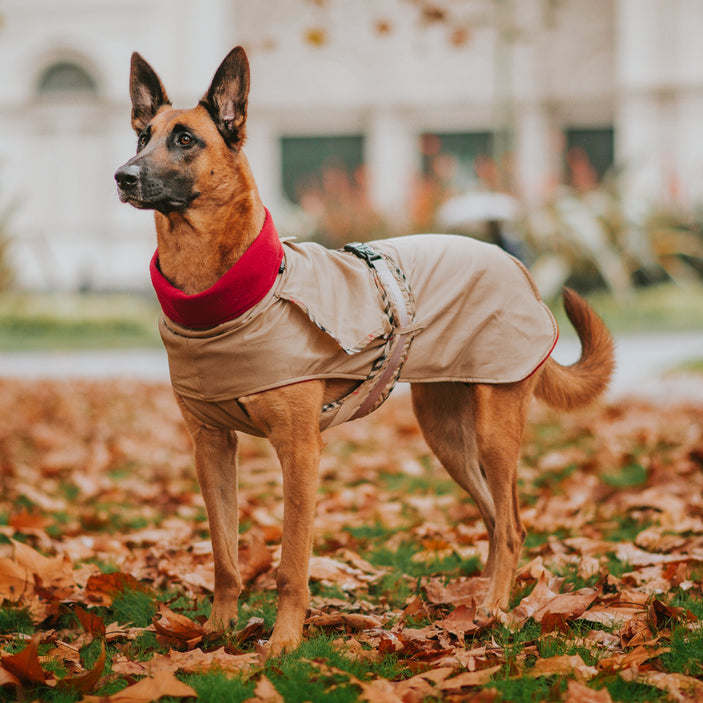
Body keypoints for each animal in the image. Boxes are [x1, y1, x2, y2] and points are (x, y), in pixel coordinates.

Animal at [115, 46, 616, 656]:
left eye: (186, 139)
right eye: (142, 136)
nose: (123, 176)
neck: (231, 295)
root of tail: (513, 261)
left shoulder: (299, 452)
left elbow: (291, 564)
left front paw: (283, 643)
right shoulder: (210, 448)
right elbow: (225, 557)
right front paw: (216, 632)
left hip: (495, 433)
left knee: (513, 524)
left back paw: (494, 609)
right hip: (446, 434)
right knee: (497, 521)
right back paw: (475, 602)